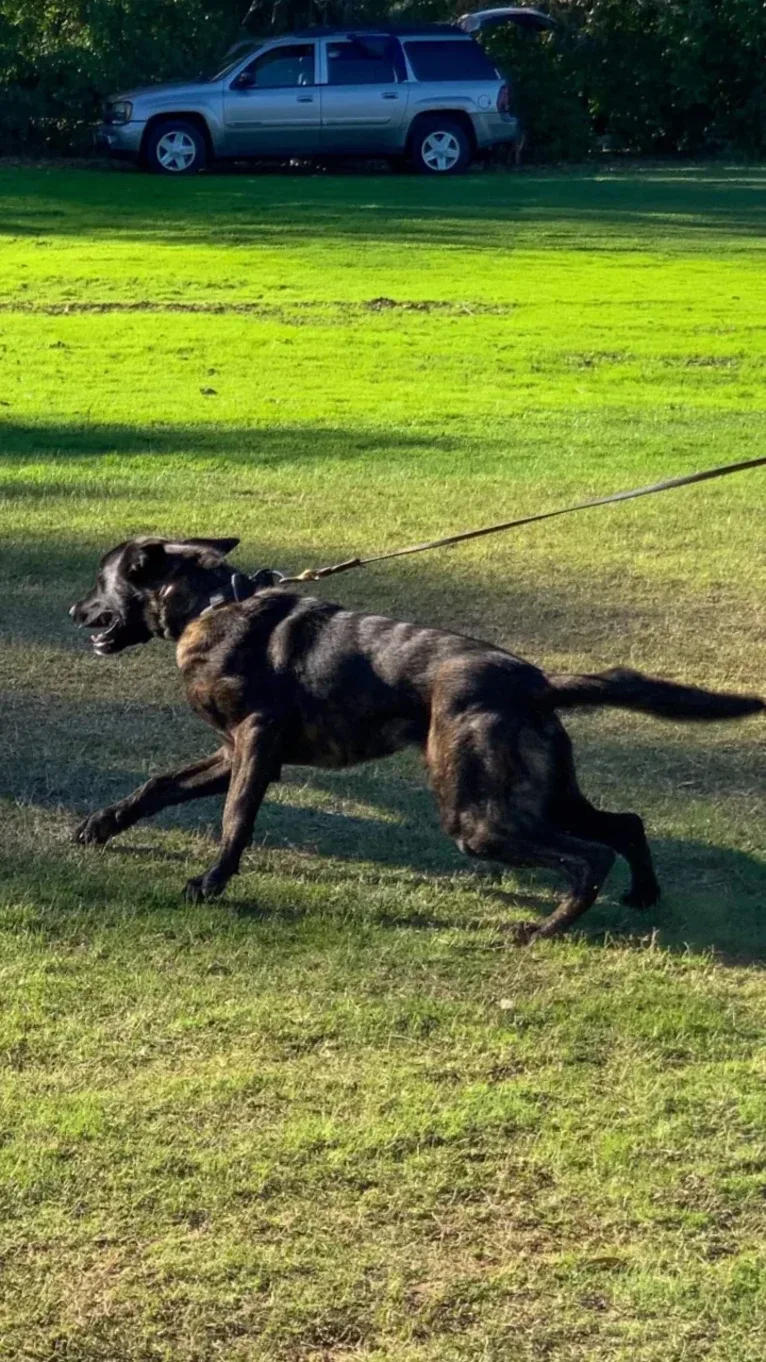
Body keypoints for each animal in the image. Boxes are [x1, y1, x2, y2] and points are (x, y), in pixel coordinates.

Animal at [70, 536, 757, 942]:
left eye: (101, 581)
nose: (75, 613)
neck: (212, 606)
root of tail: (534, 682)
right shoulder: (229, 752)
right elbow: (157, 786)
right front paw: (100, 826)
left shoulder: (255, 747)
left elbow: (235, 819)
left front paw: (212, 883)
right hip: (546, 793)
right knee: (626, 825)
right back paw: (643, 896)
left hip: (477, 816)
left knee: (589, 856)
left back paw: (544, 930)